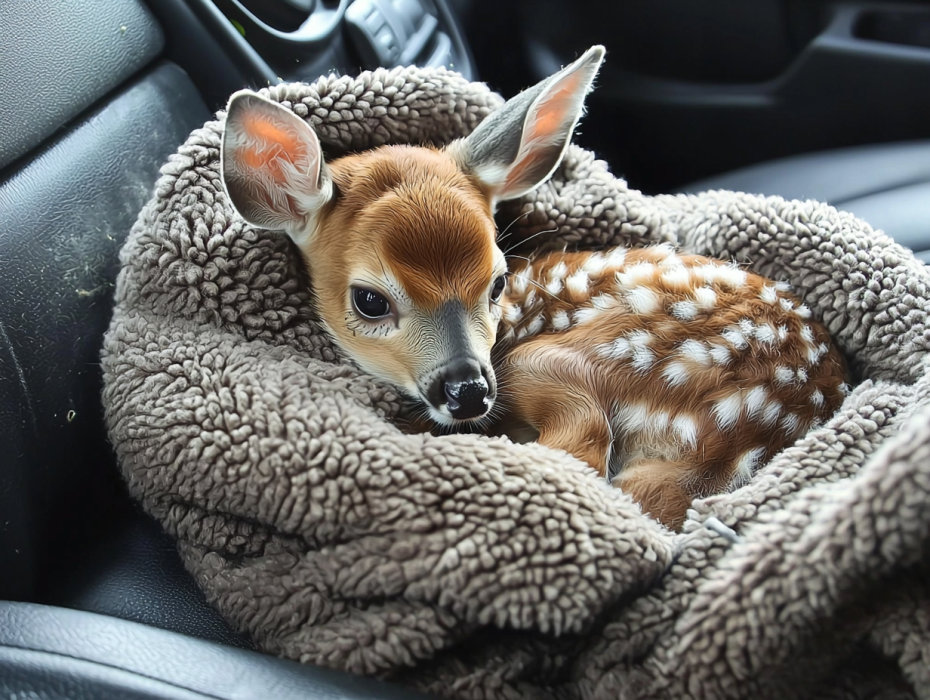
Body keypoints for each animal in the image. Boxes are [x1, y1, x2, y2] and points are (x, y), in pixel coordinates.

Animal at [219, 46, 849, 530]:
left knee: (583, 453)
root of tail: (741, 438)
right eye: (369, 300)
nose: (468, 392)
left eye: (498, 280)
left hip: (567, 360)